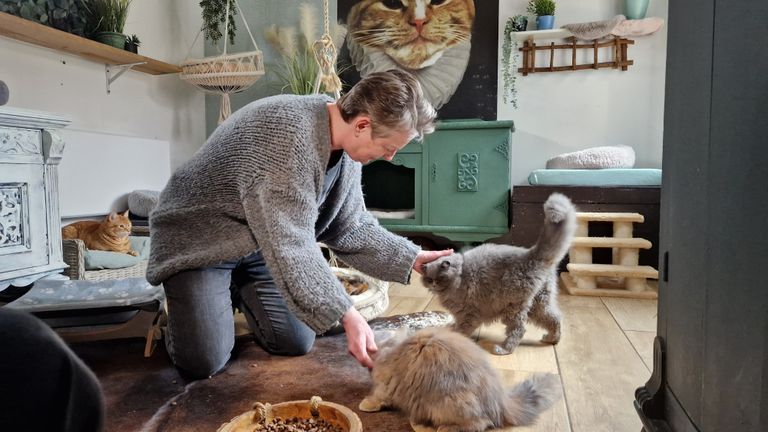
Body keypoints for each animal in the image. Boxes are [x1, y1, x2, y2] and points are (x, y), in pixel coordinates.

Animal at [356, 328, 560, 432]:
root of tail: (501, 401)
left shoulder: (386, 386)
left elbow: (377, 398)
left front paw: (365, 405)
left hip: (447, 404)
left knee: (479, 424)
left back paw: (436, 428)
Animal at [420, 193, 576, 354]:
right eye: (428, 279)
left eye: (439, 278)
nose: (433, 284)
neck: (460, 275)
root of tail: (531, 254)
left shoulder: (468, 312)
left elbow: (463, 328)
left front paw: (456, 336)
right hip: (538, 304)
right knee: (555, 318)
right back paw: (551, 339)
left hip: (513, 307)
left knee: (519, 330)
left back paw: (504, 349)